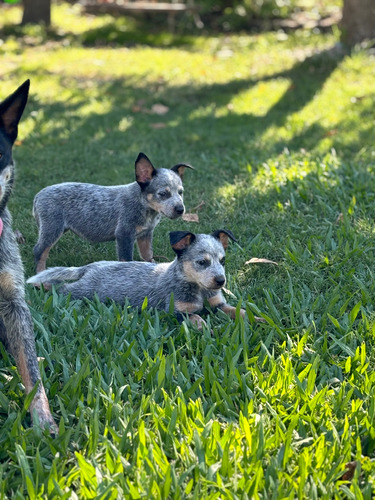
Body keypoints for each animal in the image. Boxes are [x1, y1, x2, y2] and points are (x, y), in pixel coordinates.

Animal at [28, 230, 247, 328]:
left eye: (223, 260)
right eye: (202, 262)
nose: (221, 281)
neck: (198, 289)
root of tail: (92, 266)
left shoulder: (218, 304)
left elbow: (238, 311)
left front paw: (254, 318)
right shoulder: (175, 311)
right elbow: (197, 318)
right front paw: (207, 329)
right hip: (83, 291)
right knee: (62, 288)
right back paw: (42, 285)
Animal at [31, 152, 194, 272]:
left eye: (180, 192)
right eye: (163, 194)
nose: (180, 209)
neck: (144, 207)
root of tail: (38, 195)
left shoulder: (145, 234)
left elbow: (147, 255)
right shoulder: (124, 234)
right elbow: (126, 259)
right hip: (52, 227)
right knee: (39, 251)